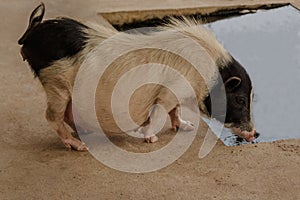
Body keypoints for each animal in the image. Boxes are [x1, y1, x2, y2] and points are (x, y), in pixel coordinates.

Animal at [17, 2, 258, 150]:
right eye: (240, 99)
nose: (254, 134)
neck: (206, 76)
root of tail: (32, 31)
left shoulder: (176, 95)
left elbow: (175, 111)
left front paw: (186, 126)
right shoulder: (169, 90)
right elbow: (160, 112)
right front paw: (152, 138)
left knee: (67, 115)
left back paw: (84, 132)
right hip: (56, 85)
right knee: (52, 117)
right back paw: (80, 147)